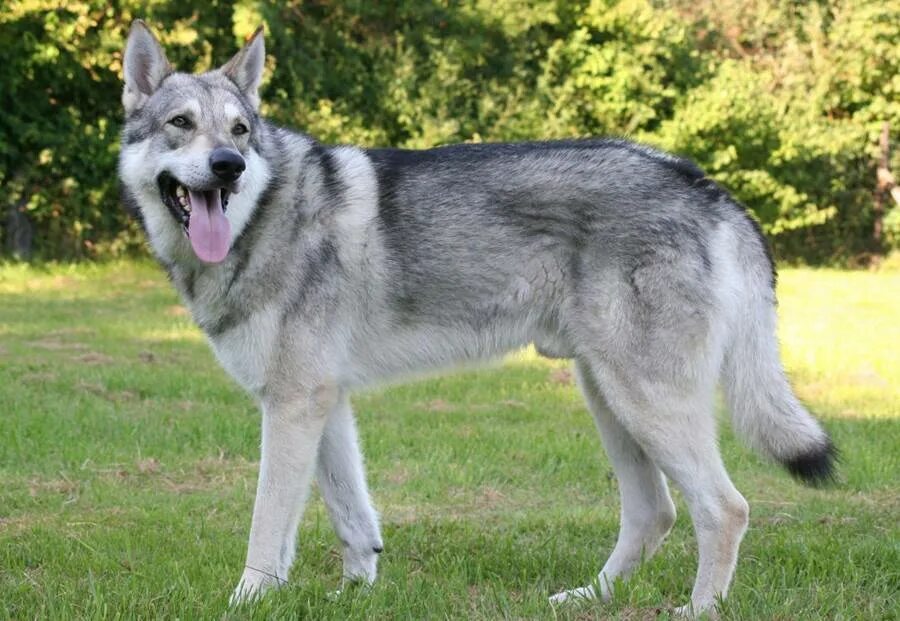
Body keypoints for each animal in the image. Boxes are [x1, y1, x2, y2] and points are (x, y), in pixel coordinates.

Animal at [119, 20, 836, 616]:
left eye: (239, 131)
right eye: (181, 123)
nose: (228, 166)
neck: (264, 218)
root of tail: (705, 185)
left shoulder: (294, 403)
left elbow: (268, 526)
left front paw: (248, 598)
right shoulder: (324, 400)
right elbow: (354, 518)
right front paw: (354, 592)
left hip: (645, 403)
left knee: (725, 508)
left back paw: (698, 608)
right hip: (608, 398)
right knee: (654, 513)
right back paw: (588, 596)